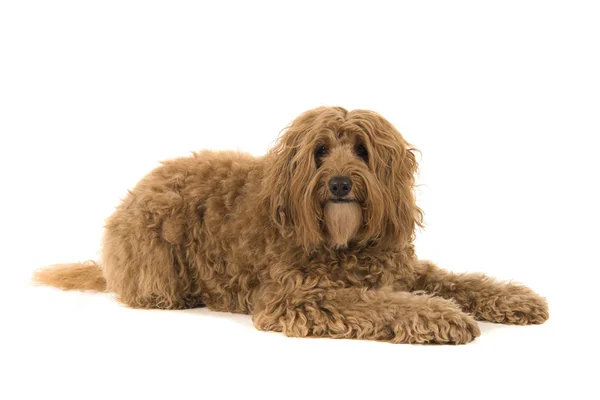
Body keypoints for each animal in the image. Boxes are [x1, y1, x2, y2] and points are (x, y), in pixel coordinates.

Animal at [32, 106, 548, 344]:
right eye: (320, 151)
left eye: (361, 150)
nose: (339, 183)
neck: (344, 244)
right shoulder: (297, 295)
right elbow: (379, 303)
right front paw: (443, 316)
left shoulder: (400, 270)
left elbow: (460, 281)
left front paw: (515, 299)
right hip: (158, 266)